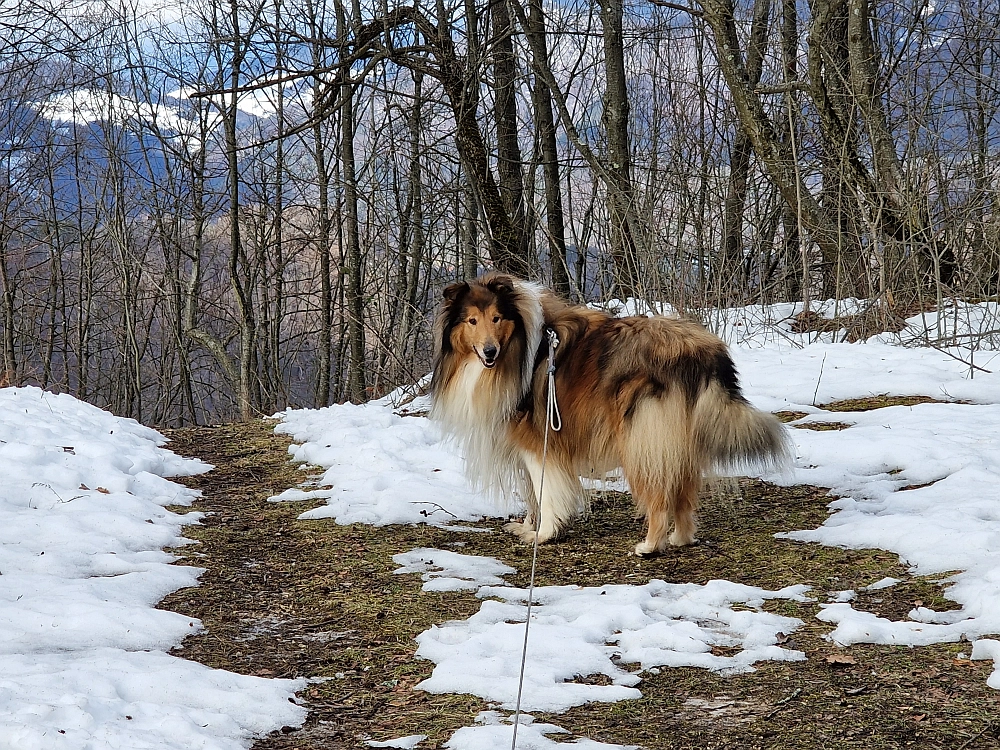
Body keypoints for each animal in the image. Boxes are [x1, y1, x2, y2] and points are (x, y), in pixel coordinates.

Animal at [430, 274, 788, 556]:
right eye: (471, 321)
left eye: (497, 318)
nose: (489, 351)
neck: (521, 343)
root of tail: (702, 351)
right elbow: (531, 493)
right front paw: (528, 526)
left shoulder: (538, 441)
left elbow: (545, 493)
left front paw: (543, 534)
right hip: (678, 438)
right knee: (683, 492)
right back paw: (681, 538)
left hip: (641, 437)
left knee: (660, 495)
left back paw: (651, 545)